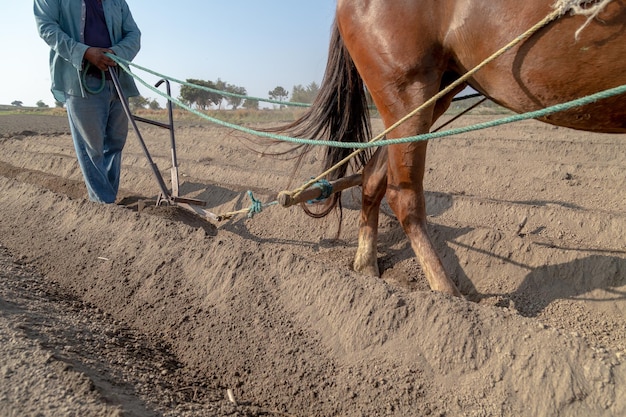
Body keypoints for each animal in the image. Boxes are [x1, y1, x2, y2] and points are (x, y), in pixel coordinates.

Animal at [272, 1, 624, 298]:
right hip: (408, 91)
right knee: (403, 197)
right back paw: (447, 296)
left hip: (437, 91)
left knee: (372, 177)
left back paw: (367, 267)